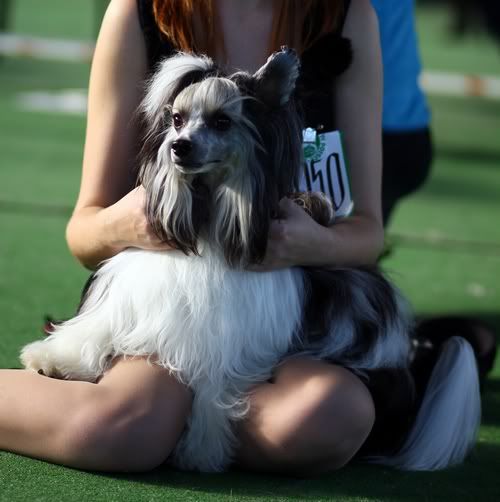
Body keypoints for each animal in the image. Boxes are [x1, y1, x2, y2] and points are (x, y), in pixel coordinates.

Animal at [21, 48, 480, 472]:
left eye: (222, 122)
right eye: (176, 119)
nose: (178, 147)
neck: (208, 219)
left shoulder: (228, 342)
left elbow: (212, 389)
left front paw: (201, 448)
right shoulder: (140, 295)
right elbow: (98, 327)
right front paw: (51, 359)